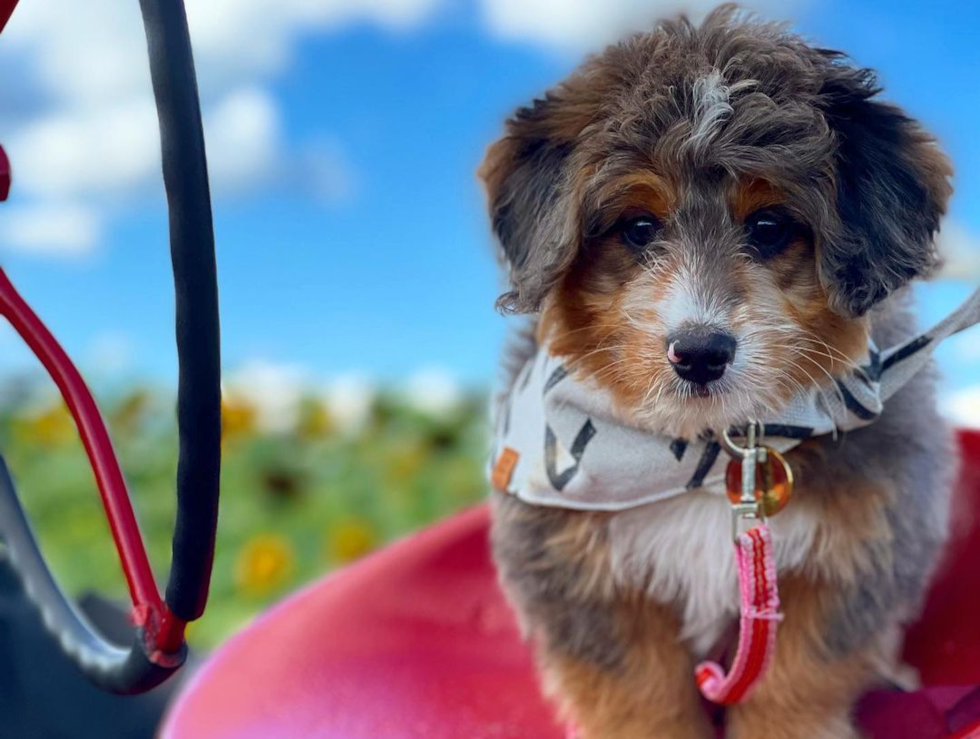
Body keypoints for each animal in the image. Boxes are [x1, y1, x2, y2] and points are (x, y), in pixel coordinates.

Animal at [482, 7, 956, 739]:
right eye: (638, 227)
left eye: (769, 226)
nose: (699, 352)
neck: (703, 450)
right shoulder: (576, 574)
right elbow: (640, 693)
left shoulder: (858, 553)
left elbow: (797, 679)